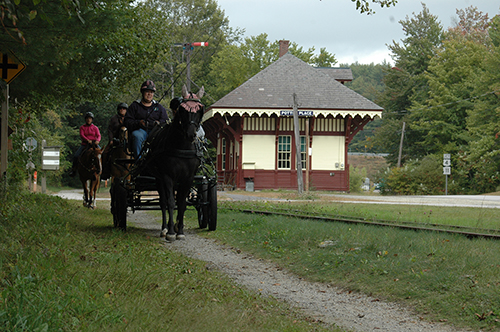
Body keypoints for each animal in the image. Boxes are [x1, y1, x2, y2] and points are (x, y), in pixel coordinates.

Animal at [146, 85, 205, 241]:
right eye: (182, 110)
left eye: (200, 110)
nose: (191, 134)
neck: (182, 146)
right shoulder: (168, 176)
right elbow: (171, 203)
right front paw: (171, 232)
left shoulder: (188, 178)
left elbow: (182, 203)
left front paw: (180, 231)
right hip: (159, 178)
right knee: (164, 202)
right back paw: (165, 228)